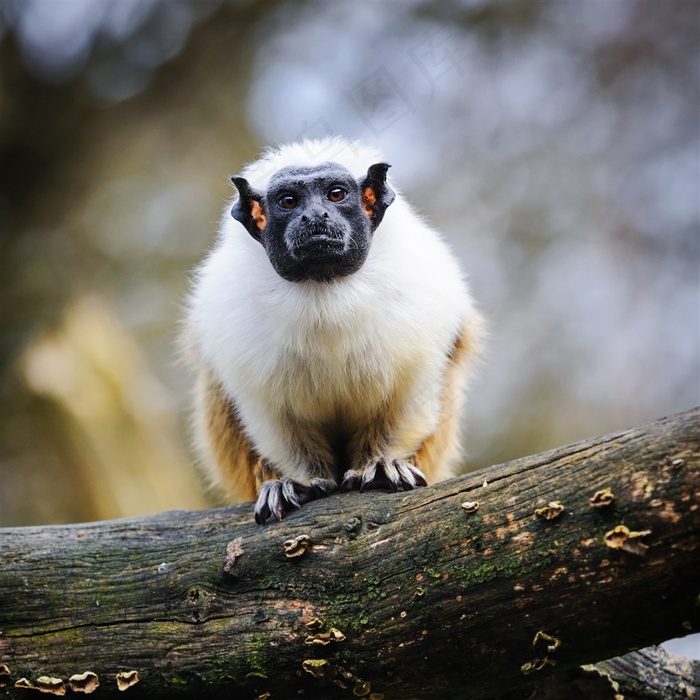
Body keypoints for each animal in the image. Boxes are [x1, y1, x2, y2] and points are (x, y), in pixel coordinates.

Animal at [183, 137, 484, 524]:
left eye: (336, 195)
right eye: (289, 201)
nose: (315, 217)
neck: (324, 287)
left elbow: (405, 403)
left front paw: (382, 465)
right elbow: (276, 419)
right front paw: (296, 482)